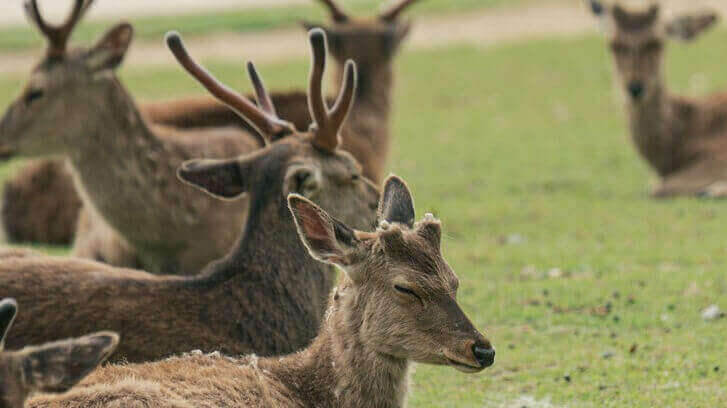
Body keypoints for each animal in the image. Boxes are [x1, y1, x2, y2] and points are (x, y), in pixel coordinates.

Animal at [588, 1, 727, 198]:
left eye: (656, 43)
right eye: (613, 44)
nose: (635, 87)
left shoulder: (720, 156)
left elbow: (657, 187)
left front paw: (710, 189)